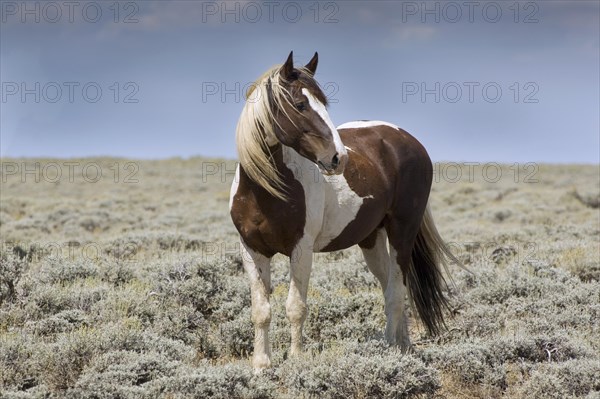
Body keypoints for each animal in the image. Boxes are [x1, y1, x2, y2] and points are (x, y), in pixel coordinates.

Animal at [230, 51, 460, 370]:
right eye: (300, 104)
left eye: (323, 102)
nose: (339, 158)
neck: (265, 189)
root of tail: (409, 141)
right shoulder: (252, 250)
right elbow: (261, 310)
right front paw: (261, 365)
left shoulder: (301, 249)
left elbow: (296, 307)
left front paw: (296, 359)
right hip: (372, 239)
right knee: (392, 286)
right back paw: (403, 346)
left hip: (402, 232)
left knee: (396, 291)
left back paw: (390, 348)